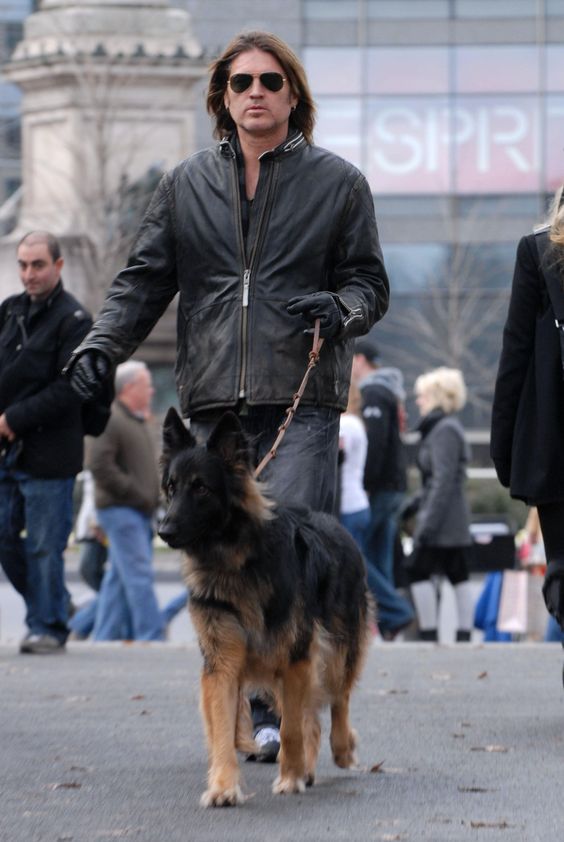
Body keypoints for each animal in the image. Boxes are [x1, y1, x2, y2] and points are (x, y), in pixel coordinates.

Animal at [159, 408, 372, 808]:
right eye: (171, 487)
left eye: (201, 488)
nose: (163, 531)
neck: (235, 563)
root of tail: (335, 524)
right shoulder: (223, 664)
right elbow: (224, 731)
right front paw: (224, 787)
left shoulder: (296, 659)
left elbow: (291, 729)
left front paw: (289, 777)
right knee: (313, 715)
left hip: (337, 651)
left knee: (338, 700)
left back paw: (340, 750)